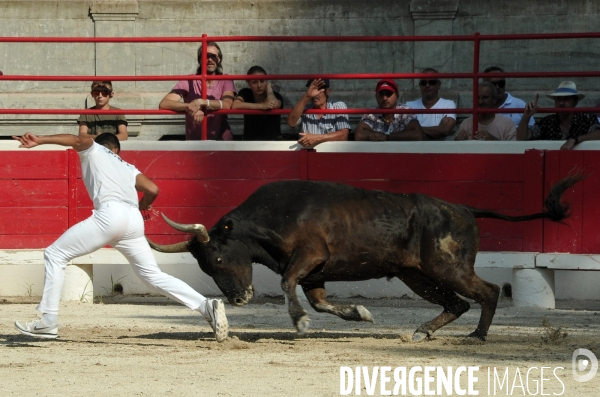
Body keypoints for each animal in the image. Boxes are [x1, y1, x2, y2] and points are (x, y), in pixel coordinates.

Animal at [145, 176, 580, 340]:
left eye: (217, 260)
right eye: (204, 266)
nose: (237, 299)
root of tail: (463, 208)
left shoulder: (309, 256)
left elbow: (288, 285)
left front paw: (299, 322)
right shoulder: (314, 273)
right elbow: (321, 302)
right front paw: (361, 314)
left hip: (447, 266)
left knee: (486, 291)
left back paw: (477, 336)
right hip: (416, 275)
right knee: (456, 303)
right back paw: (424, 330)